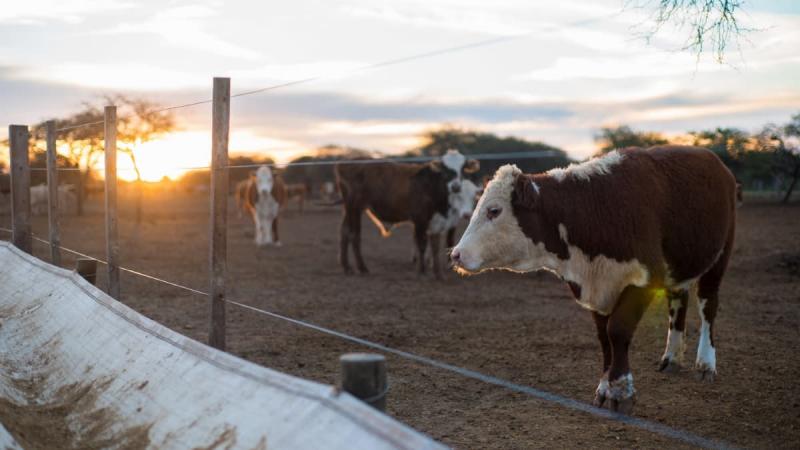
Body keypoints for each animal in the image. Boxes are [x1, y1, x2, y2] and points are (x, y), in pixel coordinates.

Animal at [334, 149, 478, 280]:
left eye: (463, 169)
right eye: (445, 169)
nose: (456, 186)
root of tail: (344, 163)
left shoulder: (436, 222)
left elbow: (435, 247)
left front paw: (438, 274)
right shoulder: (420, 220)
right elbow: (422, 245)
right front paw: (422, 272)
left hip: (349, 208)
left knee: (344, 232)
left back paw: (347, 267)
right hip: (354, 207)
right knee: (354, 235)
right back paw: (362, 267)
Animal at [450, 145, 736, 414]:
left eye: (494, 210)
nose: (456, 254)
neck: (591, 208)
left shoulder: (645, 278)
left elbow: (617, 330)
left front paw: (621, 391)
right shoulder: (598, 287)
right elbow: (604, 337)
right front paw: (604, 388)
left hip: (719, 258)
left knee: (708, 305)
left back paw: (706, 363)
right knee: (678, 301)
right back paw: (672, 357)